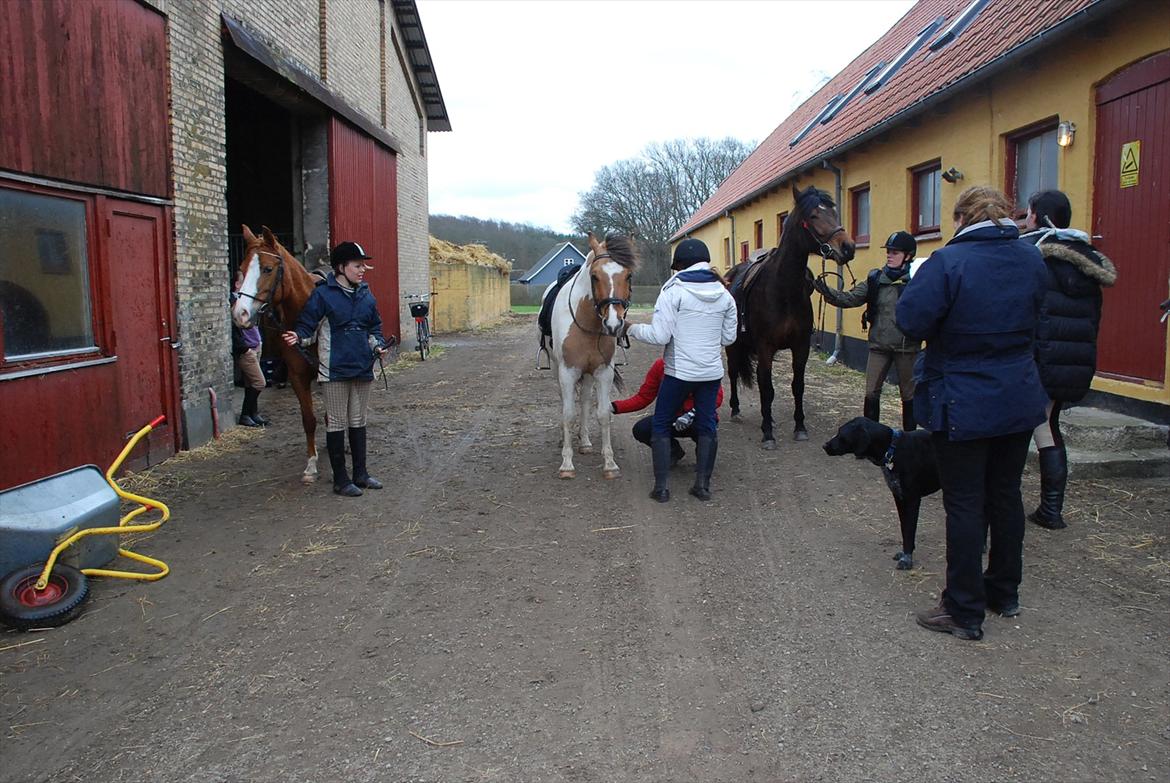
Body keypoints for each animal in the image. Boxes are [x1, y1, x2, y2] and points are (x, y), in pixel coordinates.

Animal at [230, 224, 322, 482]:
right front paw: (311, 465)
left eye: (268, 269)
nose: (240, 314)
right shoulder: (298, 376)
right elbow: (308, 419)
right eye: (241, 269)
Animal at [542, 230, 636, 477]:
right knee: (564, 401)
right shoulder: (567, 372)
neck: (586, 324)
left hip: (587, 374)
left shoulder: (603, 372)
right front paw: (566, 464)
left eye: (629, 275)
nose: (613, 323)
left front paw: (610, 463)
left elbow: (603, 413)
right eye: (594, 276)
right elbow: (568, 414)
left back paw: (584, 441)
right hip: (558, 370)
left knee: (584, 400)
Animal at [725, 183, 856, 449]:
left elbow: (797, 386)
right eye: (813, 216)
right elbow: (766, 388)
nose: (847, 247)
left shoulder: (800, 345)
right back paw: (735, 410)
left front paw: (800, 427)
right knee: (733, 373)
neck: (782, 289)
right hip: (733, 346)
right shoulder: (765, 347)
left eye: (834, 213)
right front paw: (767, 434)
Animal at [823, 414, 940, 568]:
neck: (892, 449)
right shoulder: (899, 497)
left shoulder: (912, 499)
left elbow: (909, 530)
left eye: (842, 434)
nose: (824, 446)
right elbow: (904, 528)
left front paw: (907, 559)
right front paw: (905, 553)